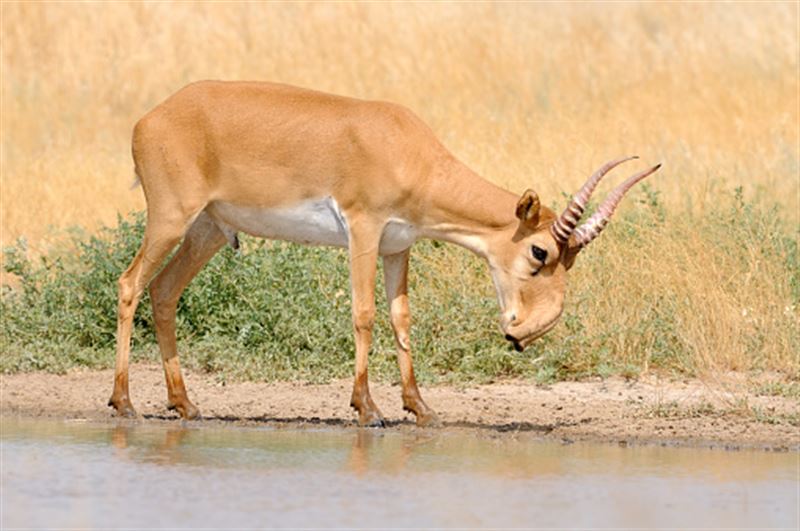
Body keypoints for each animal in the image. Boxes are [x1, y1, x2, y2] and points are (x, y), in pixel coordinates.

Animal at [109, 80, 660, 428]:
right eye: (540, 251)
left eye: (572, 260)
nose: (524, 331)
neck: (405, 149)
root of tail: (149, 120)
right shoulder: (364, 230)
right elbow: (364, 314)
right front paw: (367, 408)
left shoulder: (399, 246)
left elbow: (401, 319)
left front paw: (421, 408)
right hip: (171, 219)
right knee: (130, 283)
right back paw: (124, 402)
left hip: (208, 230)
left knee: (163, 292)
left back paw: (185, 404)